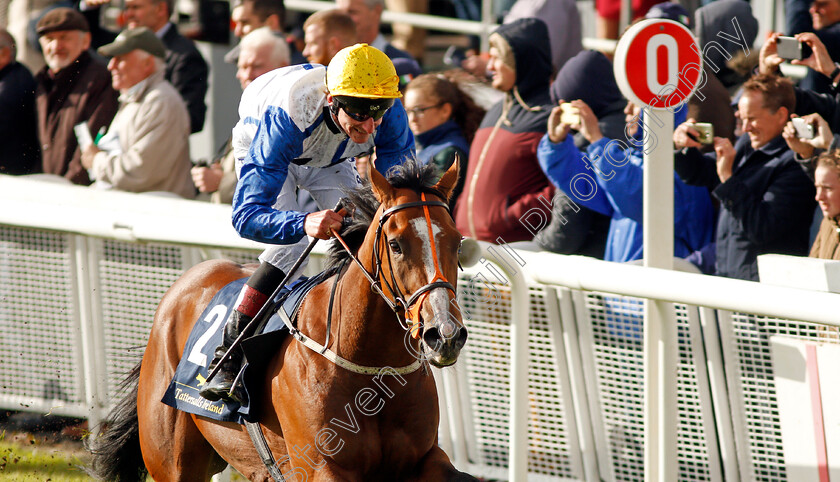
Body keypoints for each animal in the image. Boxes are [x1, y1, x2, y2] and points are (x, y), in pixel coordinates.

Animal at [89, 162, 480, 482]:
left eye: (458, 243)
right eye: (397, 245)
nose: (445, 334)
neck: (367, 364)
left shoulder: (424, 459)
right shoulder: (321, 467)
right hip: (173, 461)